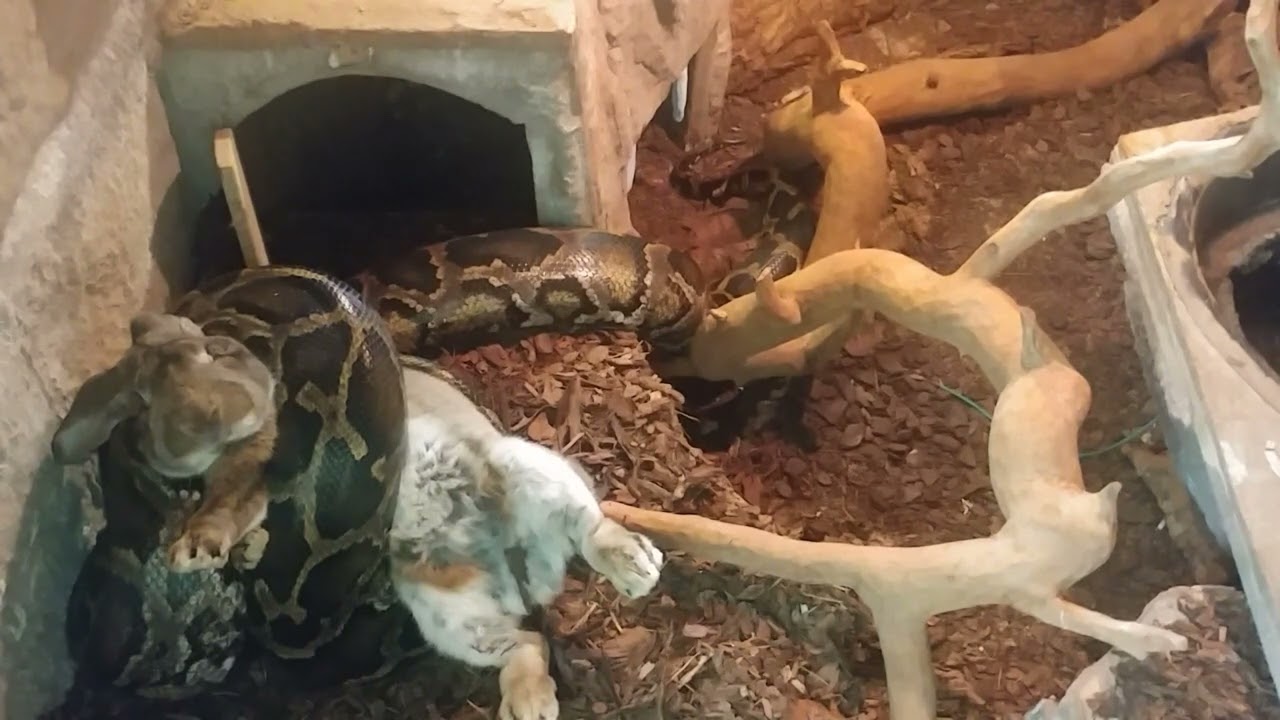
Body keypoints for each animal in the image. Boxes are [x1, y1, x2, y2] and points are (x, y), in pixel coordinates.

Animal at [51, 311, 279, 573]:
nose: (235, 409)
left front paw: (197, 549)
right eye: (144, 405)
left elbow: (227, 506)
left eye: (216, 353)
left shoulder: (241, 472)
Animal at [391, 360, 665, 720]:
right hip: (449, 617)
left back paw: (635, 566)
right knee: (529, 641)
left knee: (590, 531)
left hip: (520, 463)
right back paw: (529, 703)